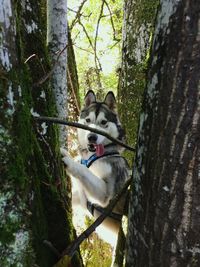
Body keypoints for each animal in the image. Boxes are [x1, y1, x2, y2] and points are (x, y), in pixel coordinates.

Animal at [60, 91, 130, 246]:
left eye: (103, 122)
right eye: (87, 120)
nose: (91, 137)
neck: (92, 157)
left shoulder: (106, 197)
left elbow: (84, 170)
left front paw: (70, 162)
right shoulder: (81, 196)